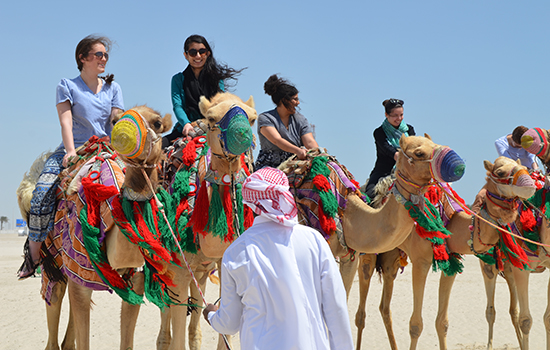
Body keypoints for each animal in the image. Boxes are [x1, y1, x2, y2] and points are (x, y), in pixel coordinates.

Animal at [354, 157, 540, 350]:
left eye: (522, 166)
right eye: (500, 172)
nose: (530, 184)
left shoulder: (451, 264)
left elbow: (442, 322)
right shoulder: (420, 261)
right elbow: (415, 325)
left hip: (391, 257)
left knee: (384, 307)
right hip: (367, 254)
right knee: (361, 312)